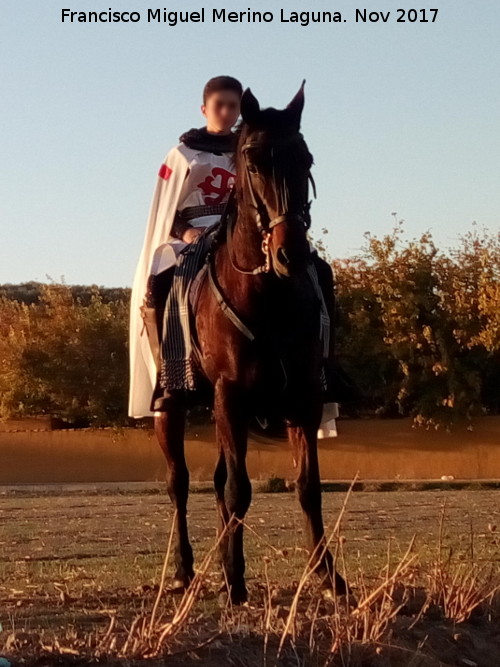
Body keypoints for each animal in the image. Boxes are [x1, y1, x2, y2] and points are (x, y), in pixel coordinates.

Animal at [155, 82, 348, 604]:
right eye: (254, 162)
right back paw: (184, 570)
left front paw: (327, 576)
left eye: (305, 159)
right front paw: (236, 580)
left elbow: (308, 486)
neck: (268, 295)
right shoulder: (231, 394)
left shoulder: (304, 398)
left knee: (219, 479)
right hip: (174, 403)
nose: (290, 254)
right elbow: (238, 489)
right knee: (180, 483)